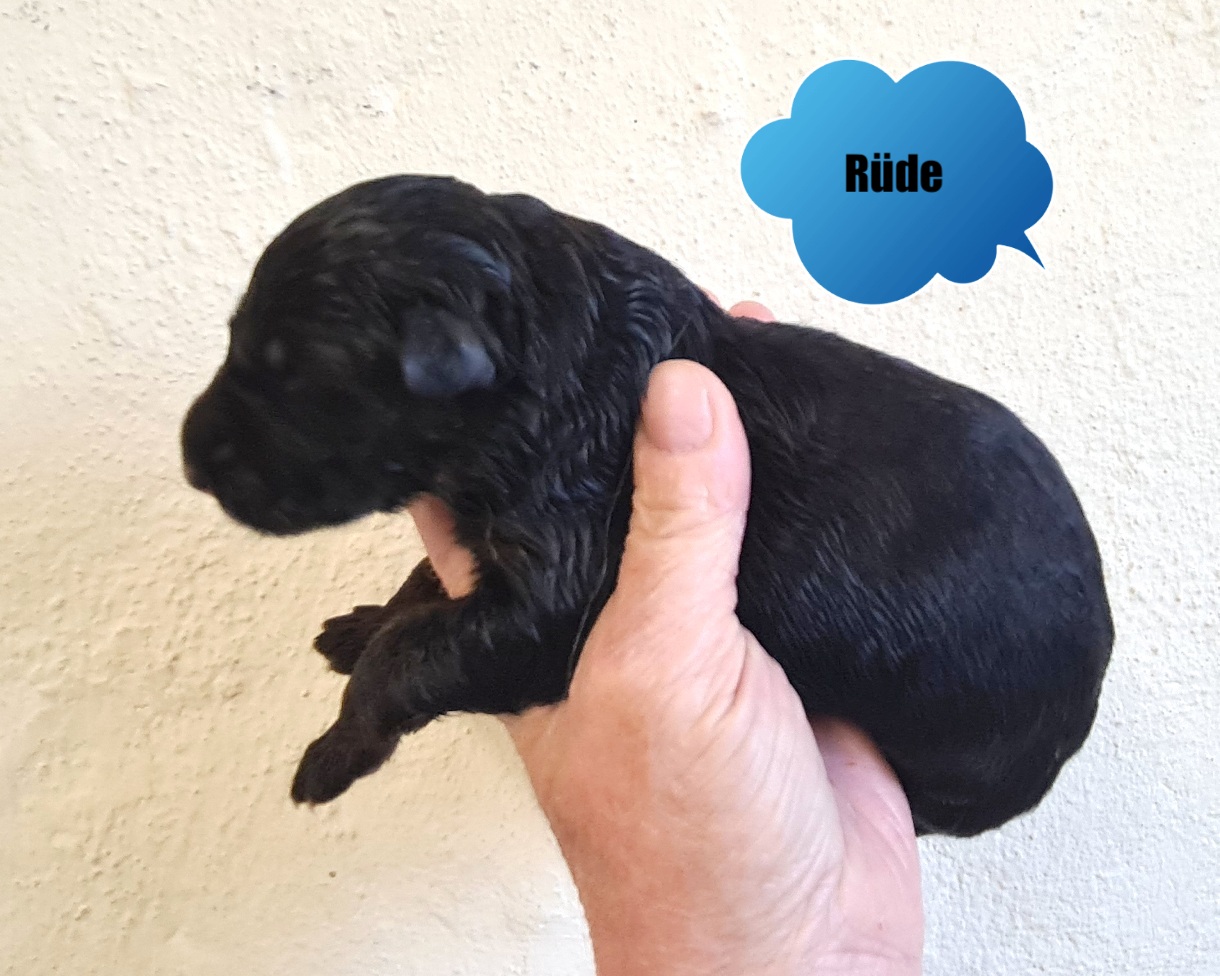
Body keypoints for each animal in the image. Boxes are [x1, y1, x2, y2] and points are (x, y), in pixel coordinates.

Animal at [180, 175, 1113, 837]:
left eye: (293, 373)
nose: (189, 460)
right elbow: (420, 594)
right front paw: (359, 626)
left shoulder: (555, 599)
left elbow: (412, 652)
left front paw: (333, 754)